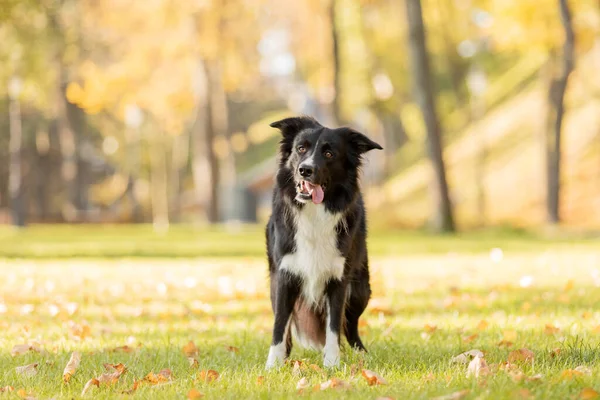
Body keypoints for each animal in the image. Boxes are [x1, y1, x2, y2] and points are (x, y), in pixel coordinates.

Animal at [264, 115, 382, 368]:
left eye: (329, 153)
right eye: (301, 148)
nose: (305, 170)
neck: (314, 213)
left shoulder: (338, 279)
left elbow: (334, 326)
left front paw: (332, 364)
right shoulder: (284, 275)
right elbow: (280, 325)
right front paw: (274, 365)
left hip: (360, 290)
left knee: (351, 326)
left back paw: (361, 354)